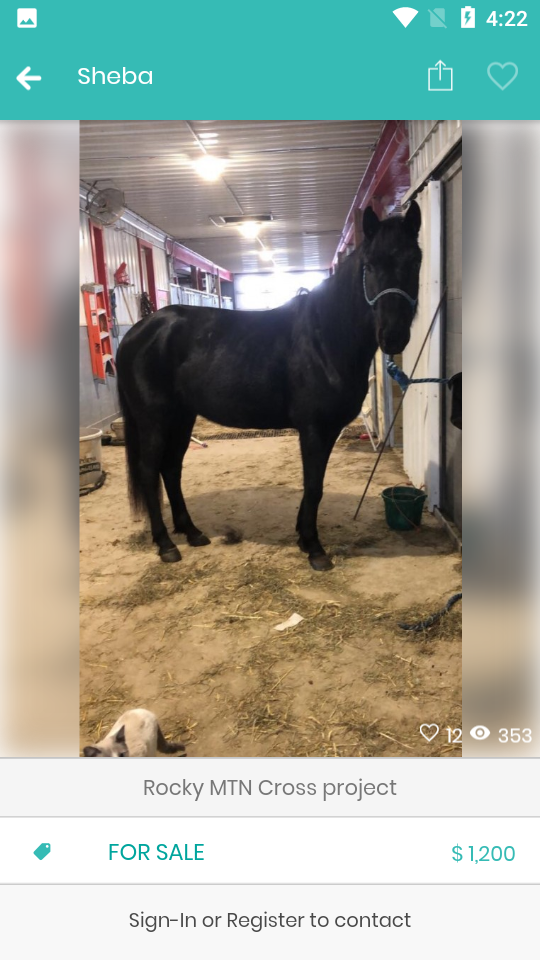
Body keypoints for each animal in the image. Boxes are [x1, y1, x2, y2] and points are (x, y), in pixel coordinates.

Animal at [116, 202, 422, 571]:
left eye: (415, 260)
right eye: (370, 265)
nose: (393, 336)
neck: (325, 337)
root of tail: (137, 332)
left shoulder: (327, 430)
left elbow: (314, 485)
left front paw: (303, 538)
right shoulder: (314, 429)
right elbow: (313, 486)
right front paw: (315, 548)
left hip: (182, 418)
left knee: (171, 469)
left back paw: (191, 532)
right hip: (154, 421)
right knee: (150, 472)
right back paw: (165, 545)